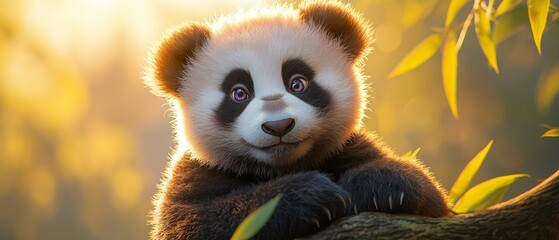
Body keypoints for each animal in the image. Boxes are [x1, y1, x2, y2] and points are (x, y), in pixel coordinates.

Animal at [144, 0, 450, 239]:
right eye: (239, 93)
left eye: (297, 83)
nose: (278, 125)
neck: (282, 166)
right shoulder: (197, 172)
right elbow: (195, 222)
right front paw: (311, 196)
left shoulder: (346, 147)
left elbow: (430, 194)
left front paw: (382, 187)